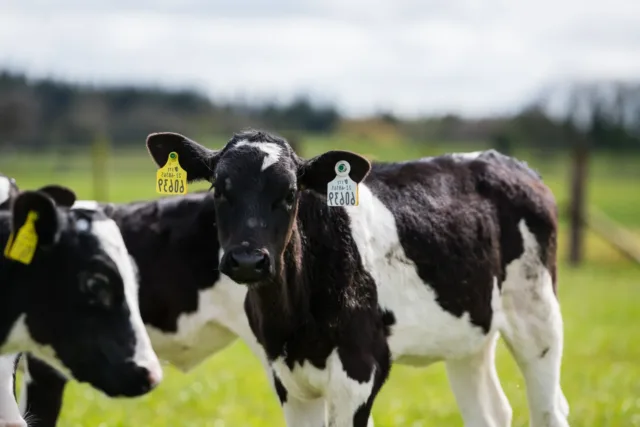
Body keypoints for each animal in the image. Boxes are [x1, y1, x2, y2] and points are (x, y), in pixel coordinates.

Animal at [146, 130, 570, 427]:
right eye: (220, 190)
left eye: (291, 193)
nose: (248, 260)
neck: (294, 320)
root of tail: (509, 163)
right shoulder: (287, 378)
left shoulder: (360, 370)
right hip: (469, 335)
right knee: (490, 412)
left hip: (538, 315)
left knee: (549, 408)